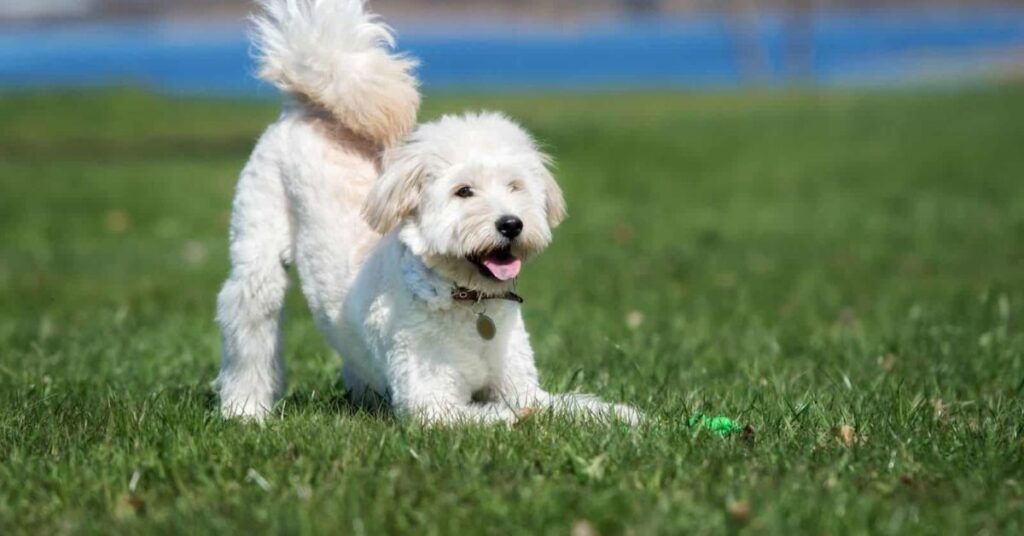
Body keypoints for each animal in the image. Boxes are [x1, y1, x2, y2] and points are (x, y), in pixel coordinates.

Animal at [216, 0, 638, 428]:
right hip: (259, 251)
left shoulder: (522, 386)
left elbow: (563, 404)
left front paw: (625, 416)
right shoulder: (432, 403)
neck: (468, 301)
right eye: (463, 191)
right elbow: (506, 414)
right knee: (250, 329)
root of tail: (305, 108)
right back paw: (244, 409)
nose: (511, 224)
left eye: (515, 186)